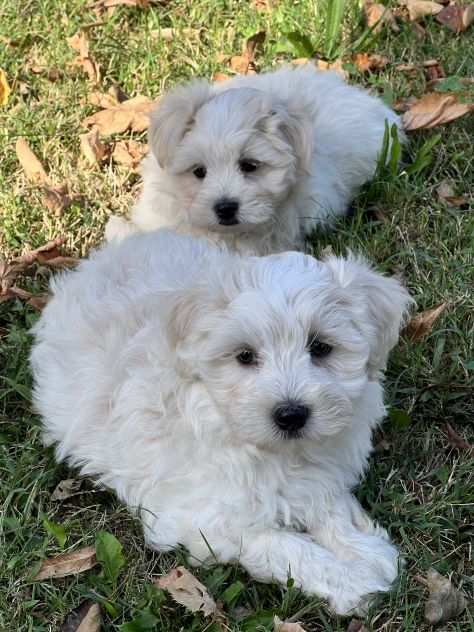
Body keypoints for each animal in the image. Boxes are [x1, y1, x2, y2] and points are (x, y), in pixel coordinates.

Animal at [31, 230, 412, 616]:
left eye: (320, 347)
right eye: (245, 356)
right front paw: (348, 580)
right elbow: (281, 544)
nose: (291, 415)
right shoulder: (204, 519)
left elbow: (327, 503)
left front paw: (363, 551)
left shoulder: (320, 471)